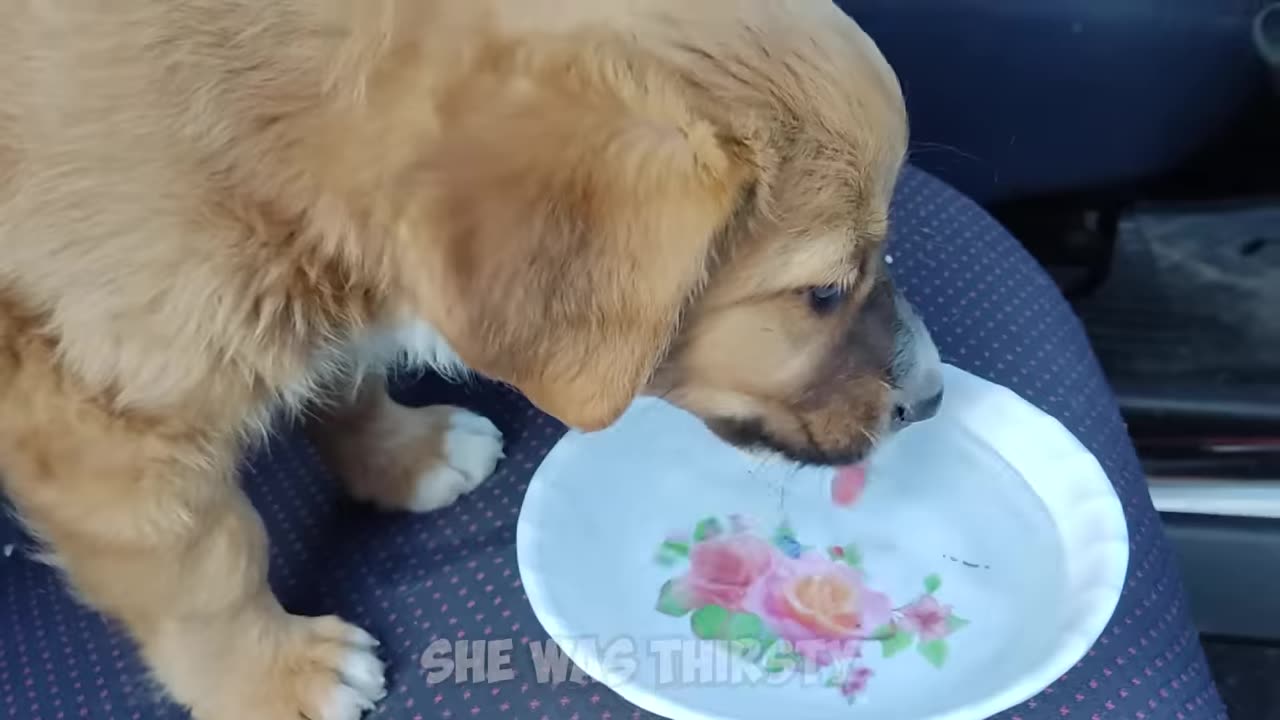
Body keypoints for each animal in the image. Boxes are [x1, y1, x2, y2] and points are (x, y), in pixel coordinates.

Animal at [0, 1, 942, 717]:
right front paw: (276, 675)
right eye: (824, 292)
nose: (933, 400)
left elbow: (349, 378)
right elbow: (209, 568)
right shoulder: (99, 417)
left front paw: (406, 455)